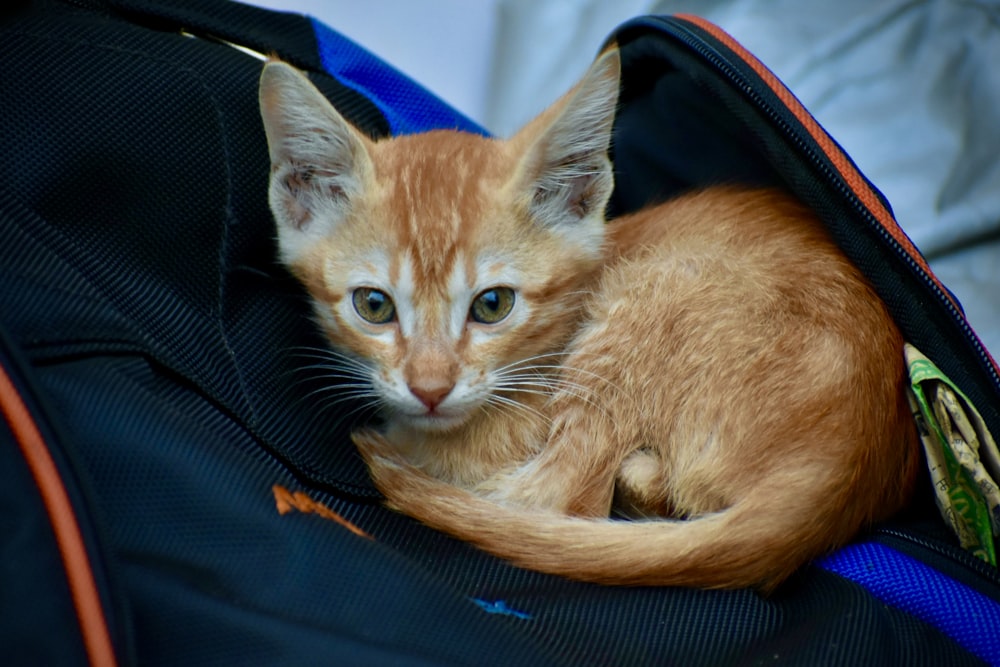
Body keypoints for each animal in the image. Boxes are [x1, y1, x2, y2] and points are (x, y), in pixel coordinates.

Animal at [260, 49, 920, 588]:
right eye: (373, 306)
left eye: (492, 305)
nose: (429, 389)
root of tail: (847, 470)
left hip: (655, 292)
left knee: (562, 496)